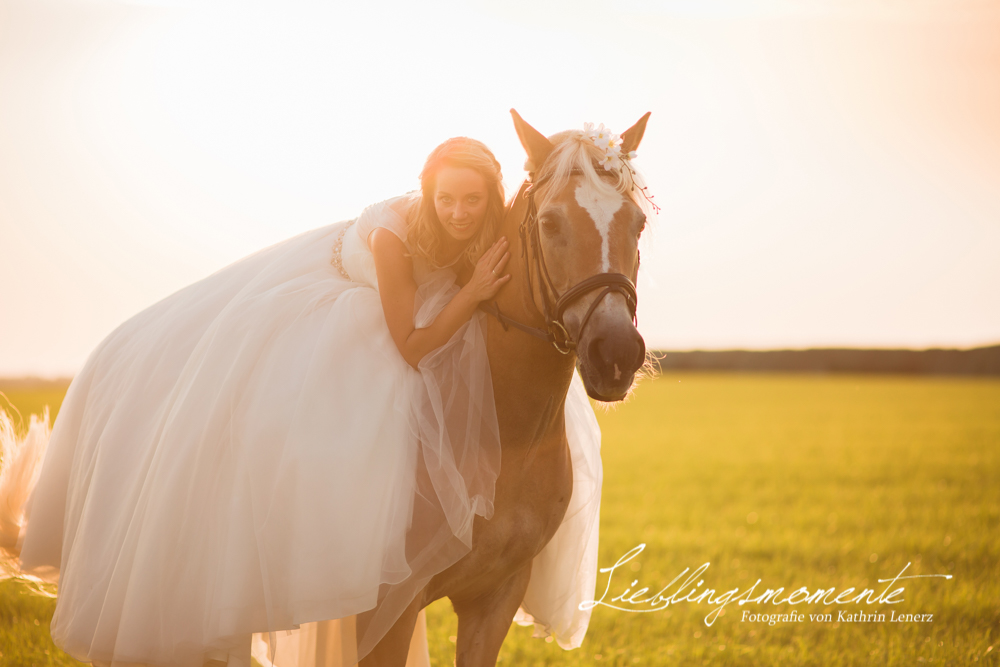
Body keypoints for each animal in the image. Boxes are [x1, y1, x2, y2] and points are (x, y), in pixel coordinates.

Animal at [358, 111, 648, 667]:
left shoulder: (495, 596)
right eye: (550, 223)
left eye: (638, 222)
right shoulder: (388, 613)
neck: (505, 433)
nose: (617, 354)